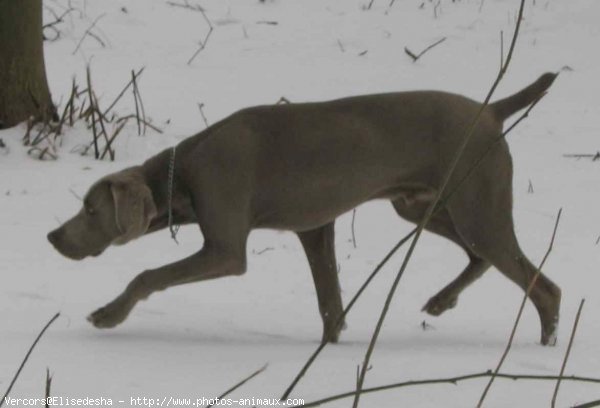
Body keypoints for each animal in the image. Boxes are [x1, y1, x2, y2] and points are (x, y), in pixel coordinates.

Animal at [49, 72, 560, 344]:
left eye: (90, 209)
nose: (52, 237)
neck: (185, 170)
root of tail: (491, 111)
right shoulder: (315, 230)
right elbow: (330, 303)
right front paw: (328, 350)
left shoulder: (225, 250)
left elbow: (147, 275)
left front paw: (108, 314)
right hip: (422, 207)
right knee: (482, 259)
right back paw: (441, 300)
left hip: (475, 206)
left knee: (542, 285)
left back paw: (546, 343)